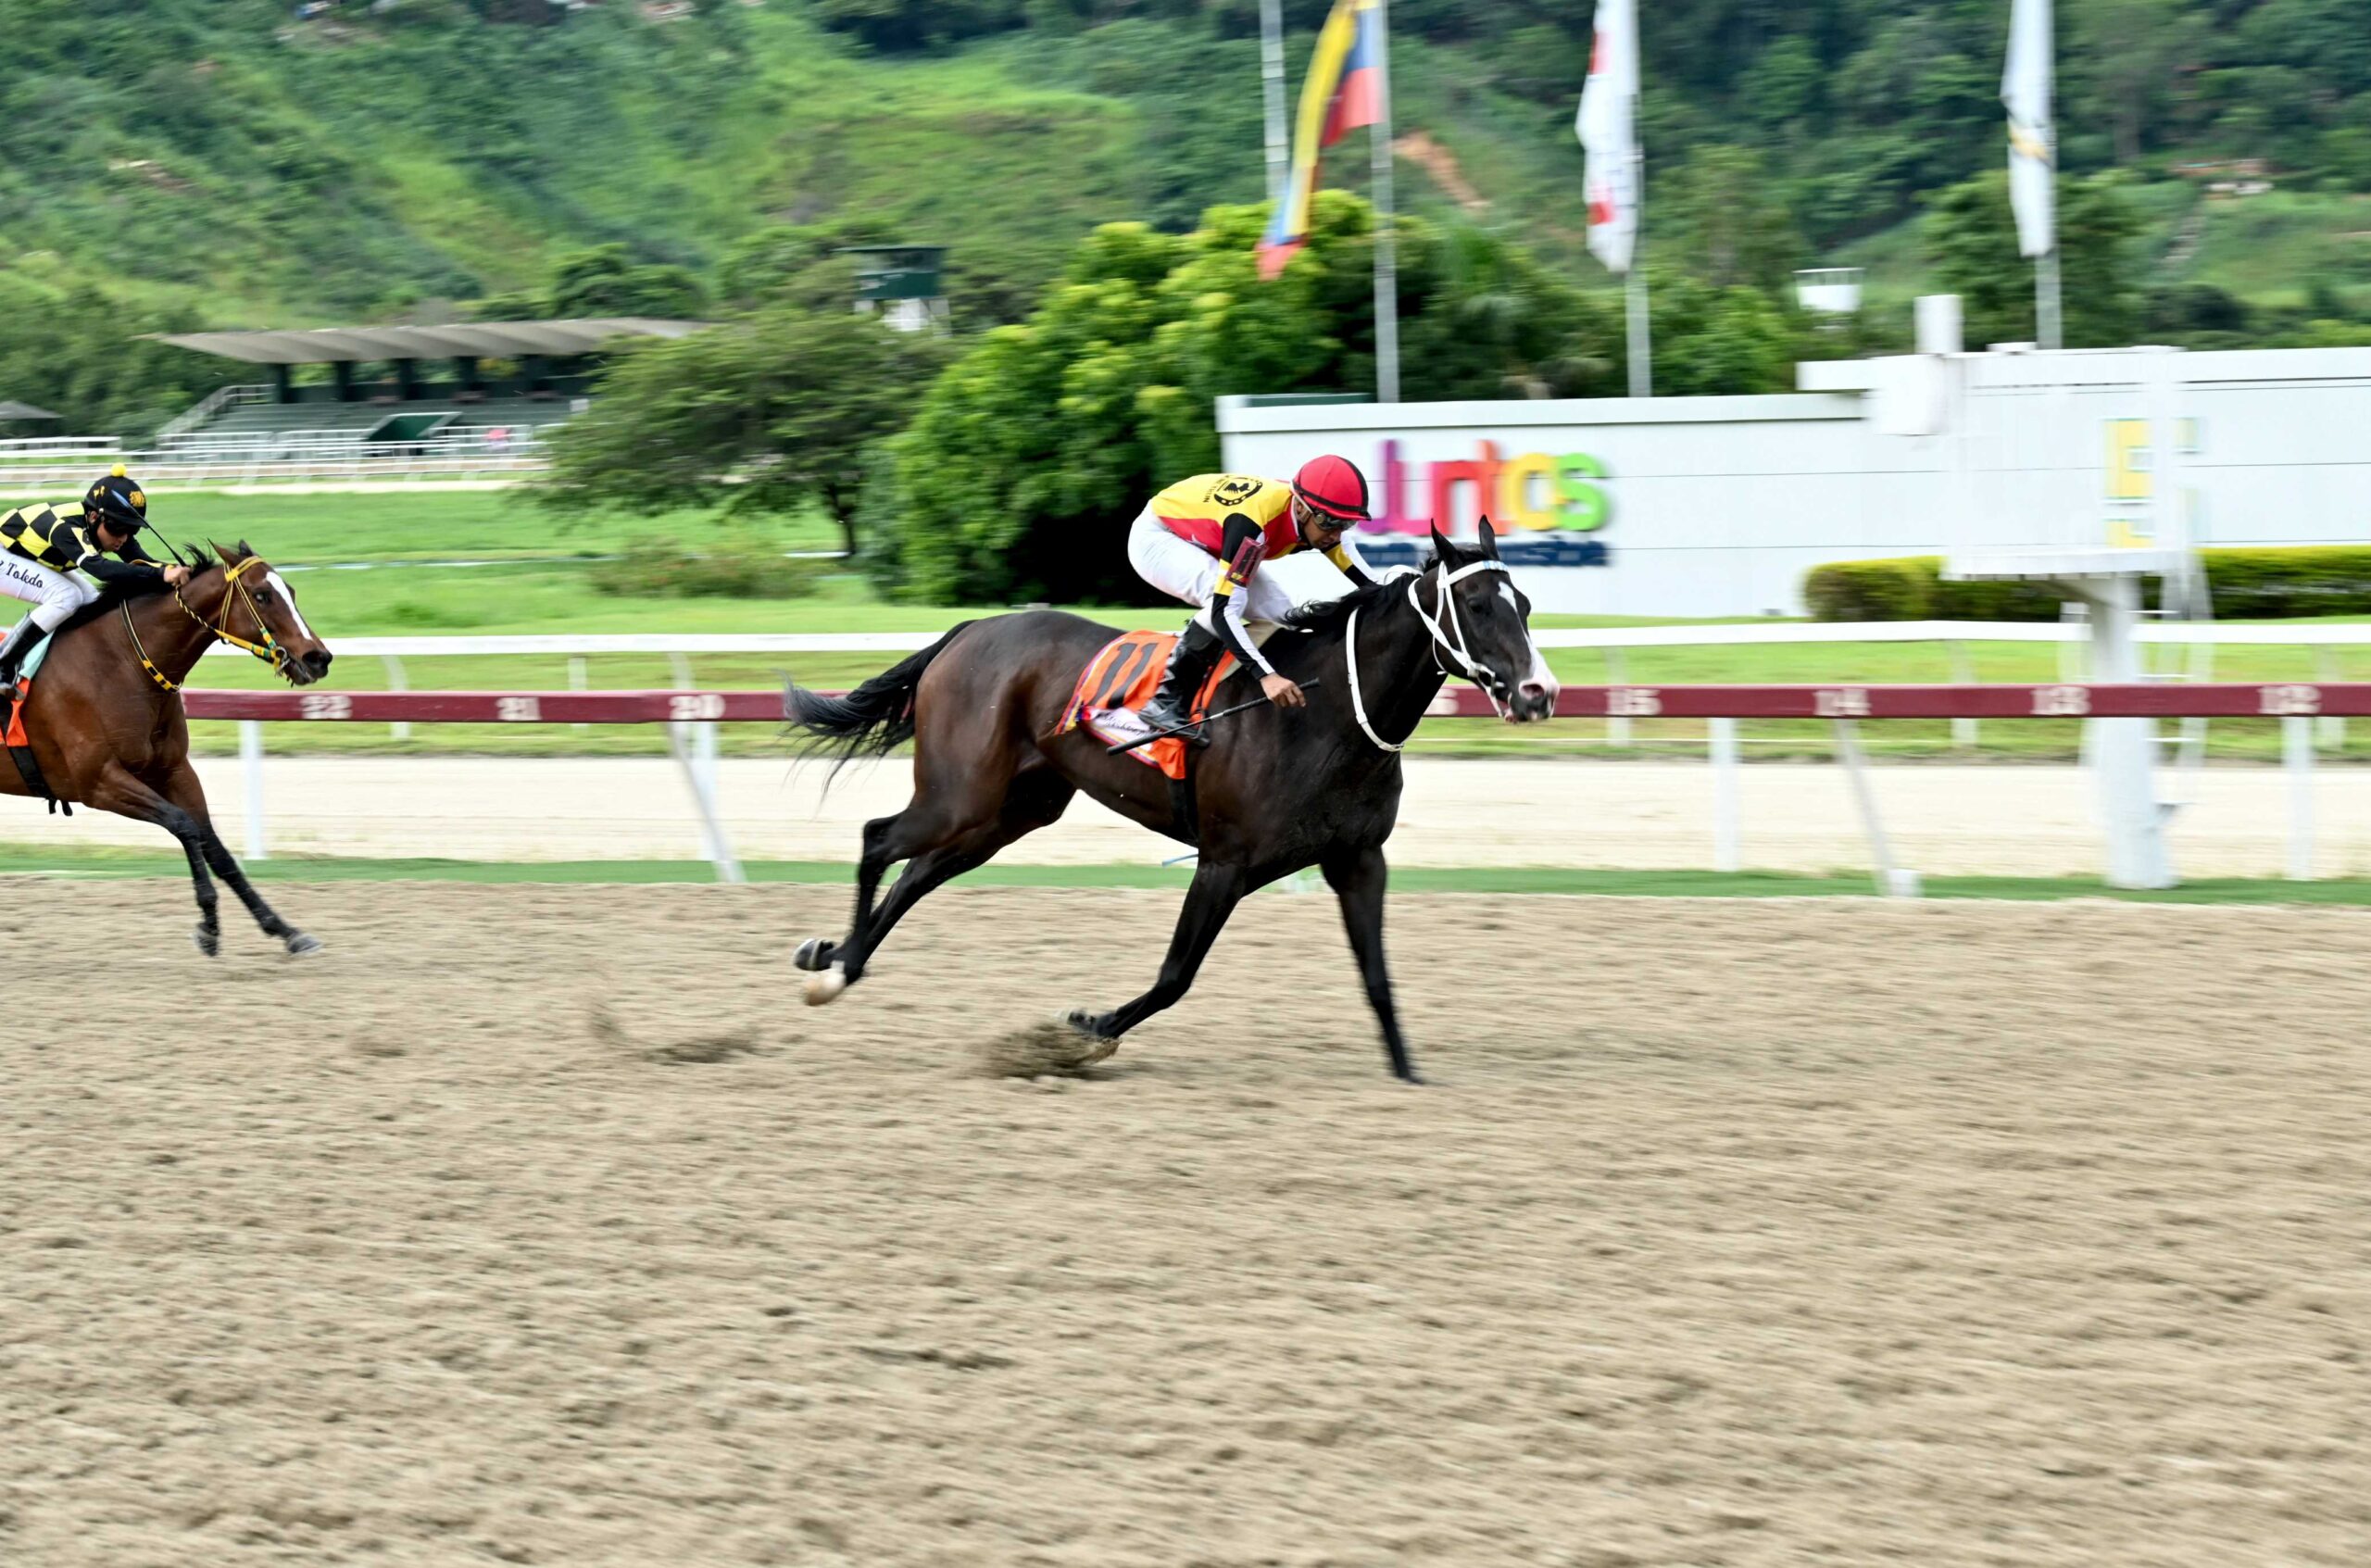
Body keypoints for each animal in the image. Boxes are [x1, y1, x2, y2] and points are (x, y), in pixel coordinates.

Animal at [0, 543, 336, 957]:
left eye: (290, 591)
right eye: (261, 595)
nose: (318, 658)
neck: (122, 663)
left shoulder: (174, 770)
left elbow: (216, 849)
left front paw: (284, 930)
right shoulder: (98, 783)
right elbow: (183, 825)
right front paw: (209, 924)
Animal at [783, 522, 1558, 1082]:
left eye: (1524, 605)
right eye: (1479, 606)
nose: (1539, 692)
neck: (1324, 713)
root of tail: (970, 630)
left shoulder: (1359, 859)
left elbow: (1377, 977)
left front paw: (1408, 1074)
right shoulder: (1225, 862)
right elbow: (1175, 974)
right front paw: (1085, 1032)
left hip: (1010, 810)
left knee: (918, 872)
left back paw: (835, 956)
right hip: (959, 792)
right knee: (879, 838)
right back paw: (838, 967)